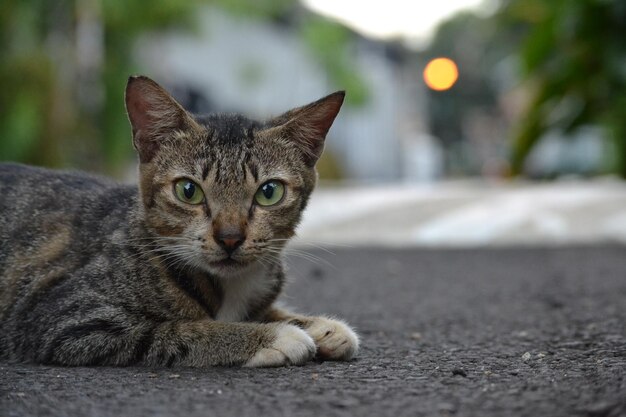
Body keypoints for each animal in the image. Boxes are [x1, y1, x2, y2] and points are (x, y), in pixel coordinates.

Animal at [0, 75, 358, 368]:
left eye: (269, 192)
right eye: (188, 190)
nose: (230, 237)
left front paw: (318, 326)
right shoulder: (66, 320)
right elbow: (180, 330)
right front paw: (273, 335)